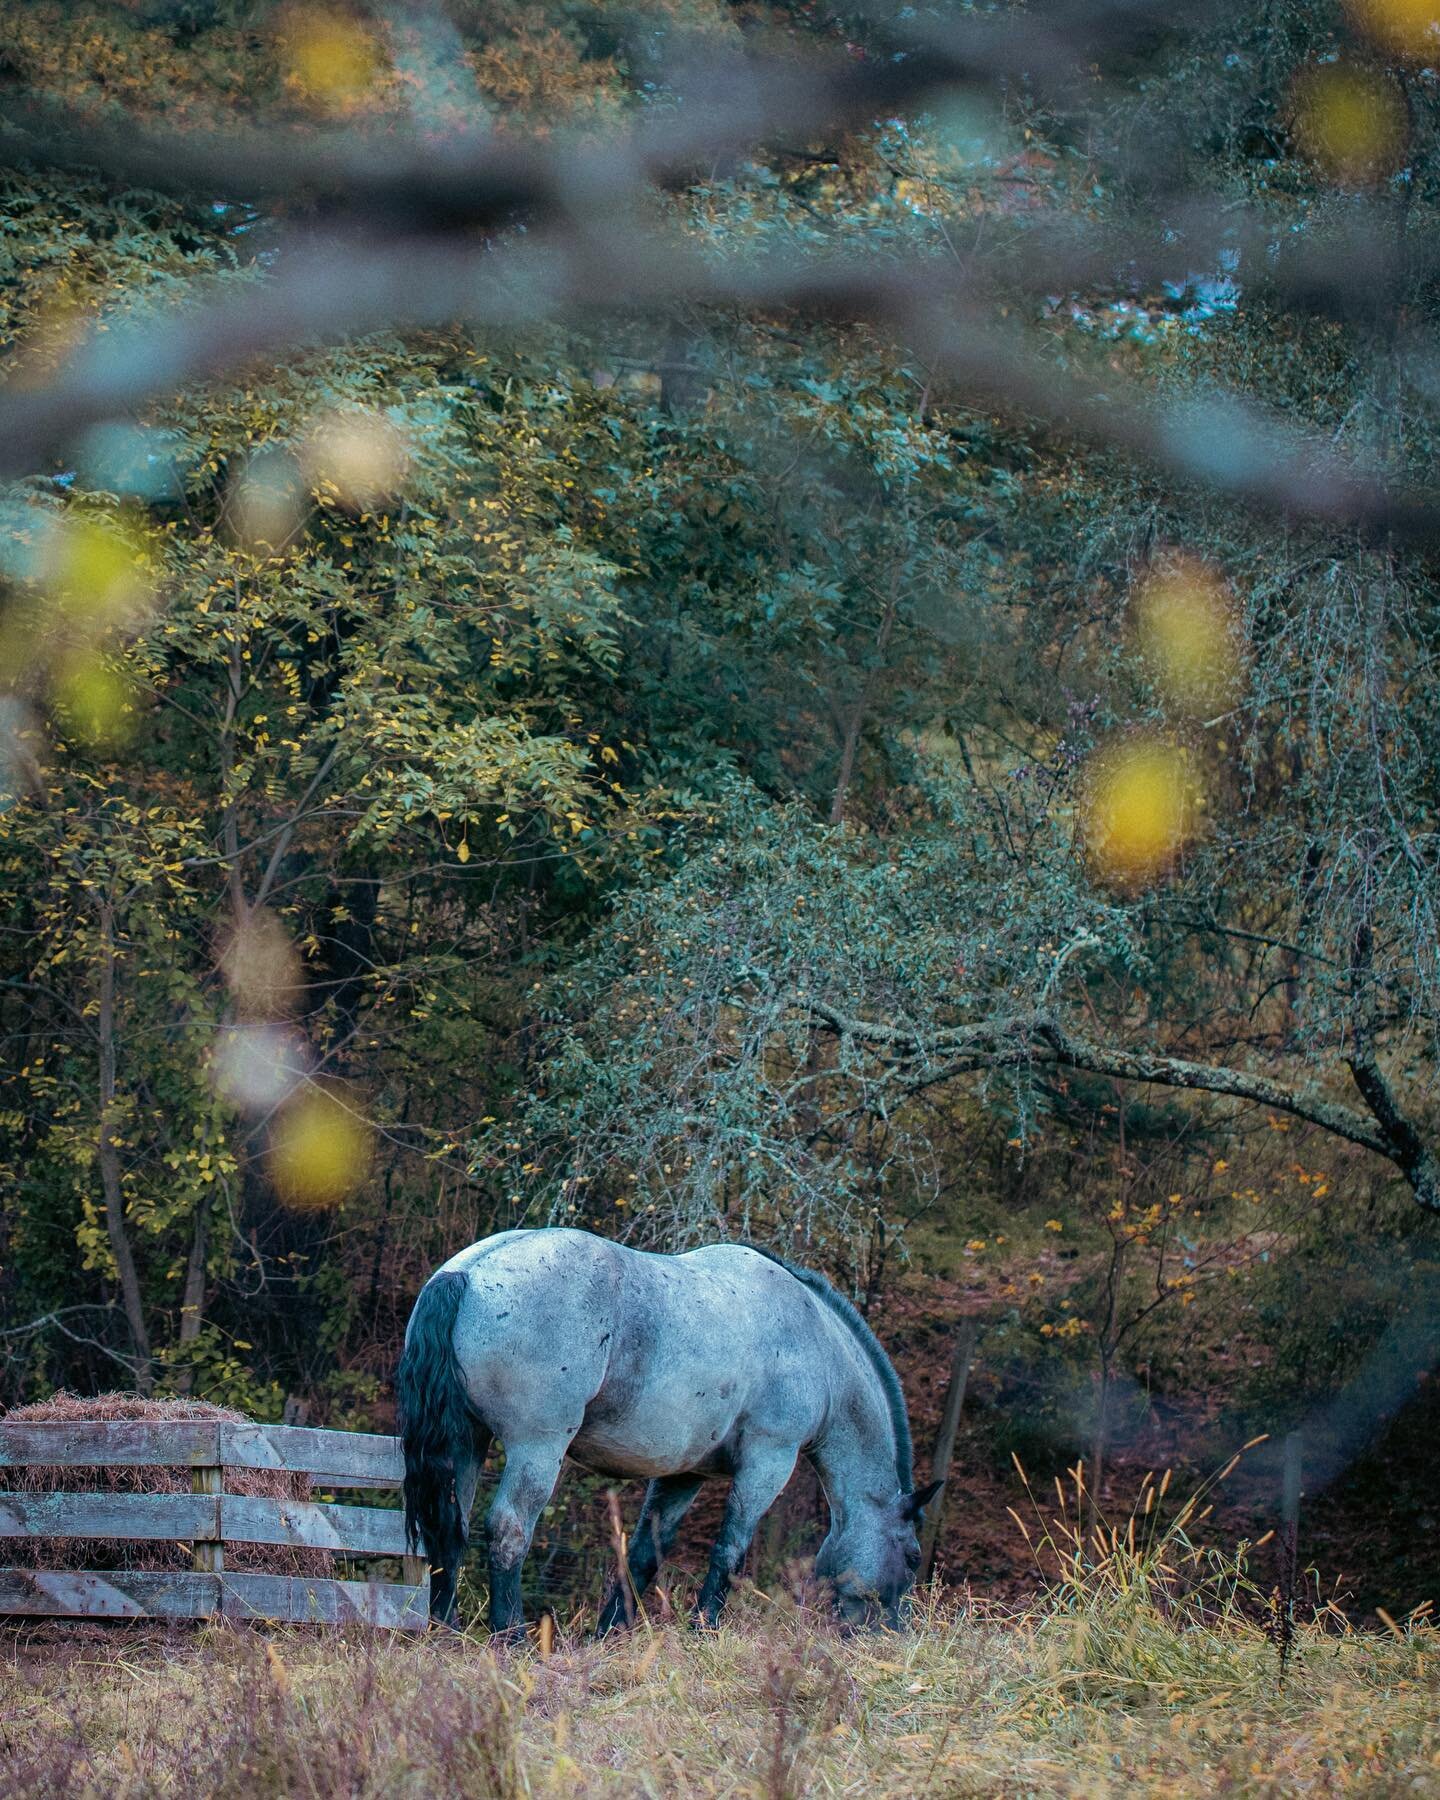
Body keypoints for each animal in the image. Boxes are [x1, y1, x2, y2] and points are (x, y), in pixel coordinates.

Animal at [394, 1231, 936, 1641]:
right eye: (912, 1557)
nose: (895, 1632)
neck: (817, 1345)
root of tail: (467, 1274)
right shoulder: (768, 1462)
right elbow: (730, 1549)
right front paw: (705, 1629)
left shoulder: (684, 1474)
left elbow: (645, 1552)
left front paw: (609, 1634)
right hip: (537, 1449)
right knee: (508, 1529)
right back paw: (511, 1639)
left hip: (467, 1443)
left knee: (451, 1530)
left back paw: (446, 1631)